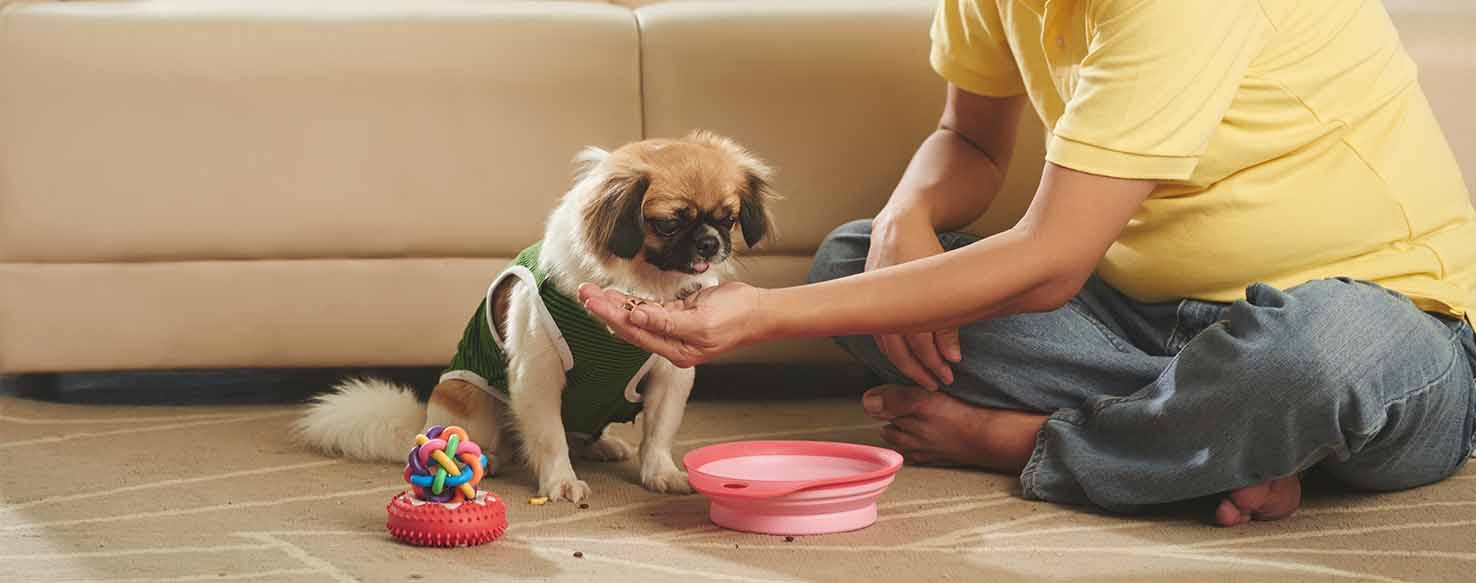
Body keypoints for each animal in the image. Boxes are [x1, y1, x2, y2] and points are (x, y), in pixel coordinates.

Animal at [287, 131, 773, 501]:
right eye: (670, 224)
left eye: (728, 220)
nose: (710, 243)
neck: (645, 281)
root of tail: (420, 426)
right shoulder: (538, 376)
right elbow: (549, 436)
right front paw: (561, 483)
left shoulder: (670, 378)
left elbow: (659, 433)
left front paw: (660, 474)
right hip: (467, 396)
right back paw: (489, 457)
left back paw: (601, 446)